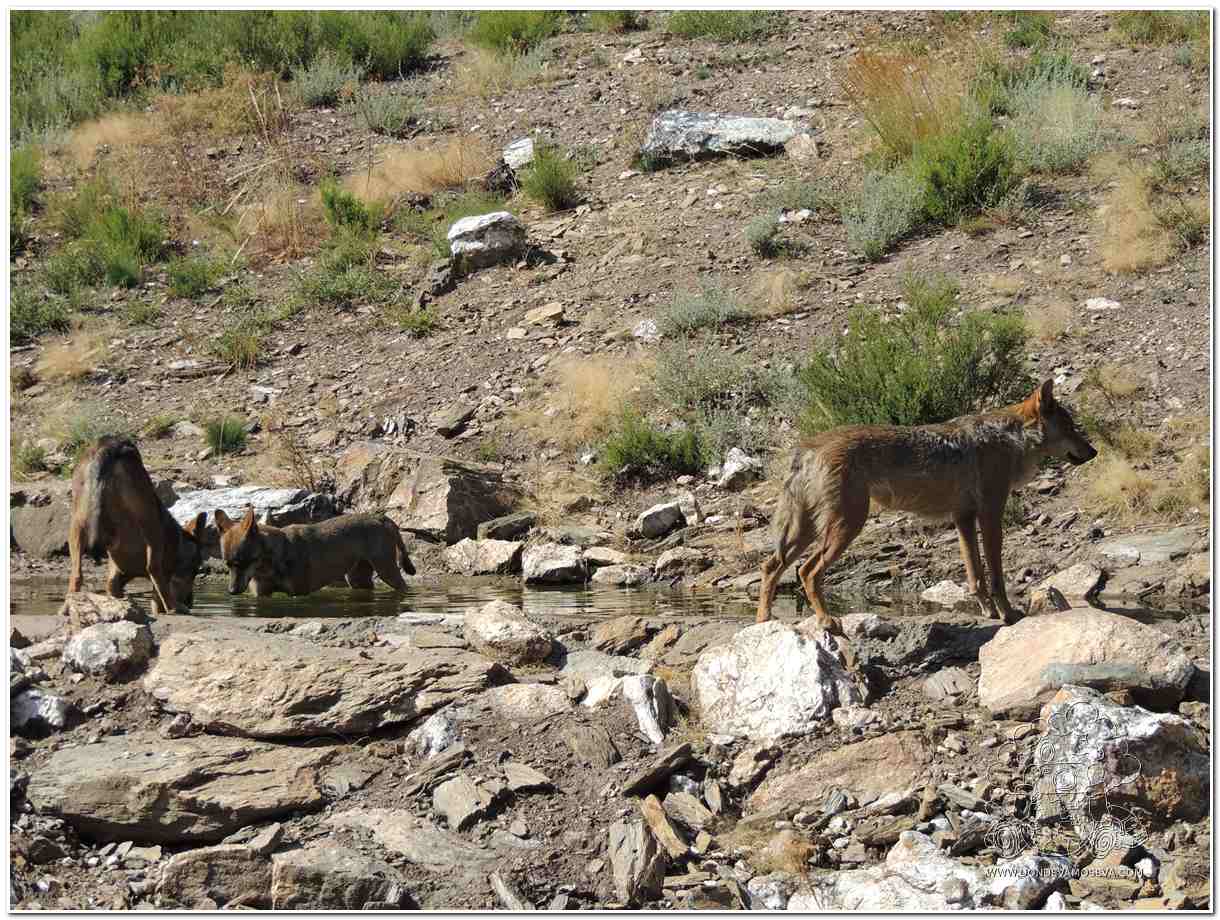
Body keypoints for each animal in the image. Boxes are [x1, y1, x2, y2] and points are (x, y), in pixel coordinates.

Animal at [67, 437, 207, 614]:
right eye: (195, 570)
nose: (190, 602)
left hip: (76, 523)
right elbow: (159, 590)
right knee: (152, 568)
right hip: (149, 519)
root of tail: (110, 446)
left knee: (76, 575)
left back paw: (66, 608)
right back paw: (173, 607)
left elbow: (113, 586)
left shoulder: (116, 574)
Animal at [213, 507, 416, 597]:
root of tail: (381, 517)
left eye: (242, 563)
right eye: (228, 565)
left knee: (405, 586)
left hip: (387, 572)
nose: (231, 591)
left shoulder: (298, 594)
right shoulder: (262, 595)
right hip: (356, 579)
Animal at [756, 379, 1097, 638]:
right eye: (1070, 427)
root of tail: (808, 447)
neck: (1010, 439)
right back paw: (827, 621)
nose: (1094, 452)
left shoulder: (963, 517)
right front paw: (1010, 614)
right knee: (807, 571)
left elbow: (975, 576)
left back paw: (763, 621)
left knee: (771, 566)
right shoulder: (990, 514)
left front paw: (988, 611)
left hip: (809, 530)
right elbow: (997, 577)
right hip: (846, 526)